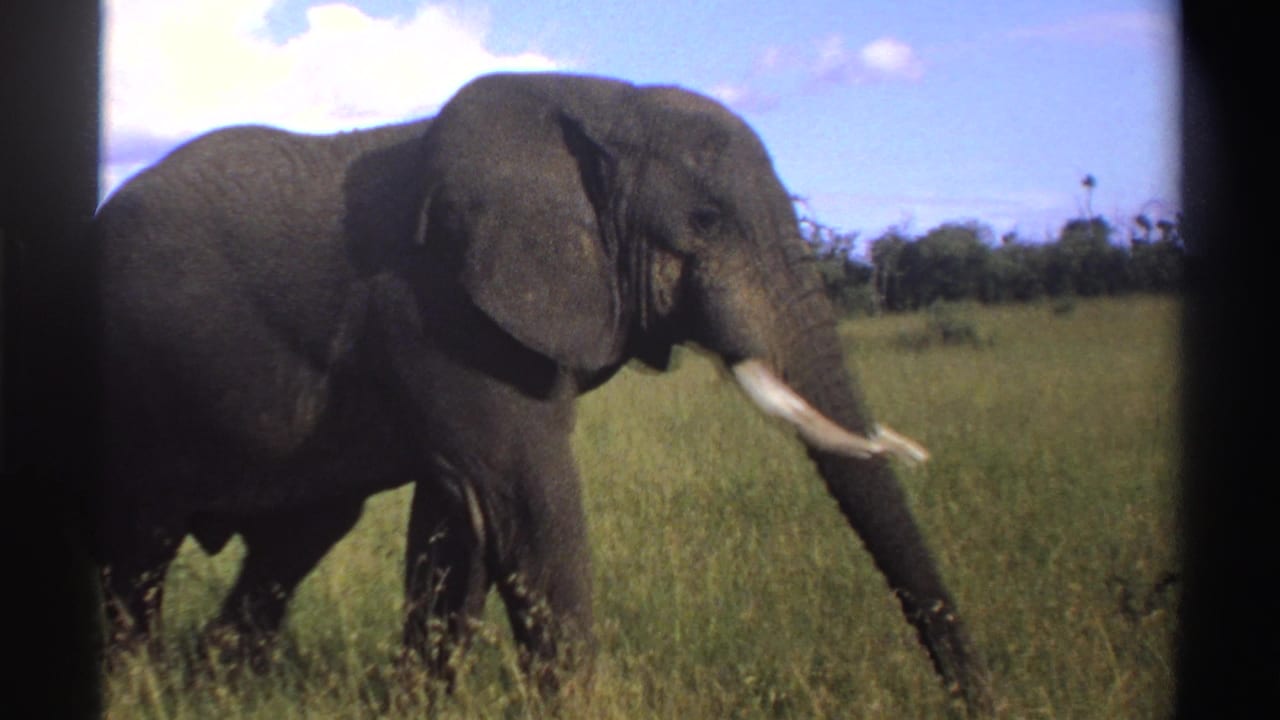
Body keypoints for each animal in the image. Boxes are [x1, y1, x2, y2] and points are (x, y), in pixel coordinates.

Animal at [88, 71, 990, 710]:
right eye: (704, 223)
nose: (980, 700)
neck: (595, 103)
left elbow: (457, 520)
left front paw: (415, 706)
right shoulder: (439, 304)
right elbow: (521, 498)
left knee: (295, 537)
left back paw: (213, 686)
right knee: (141, 548)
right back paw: (143, 691)